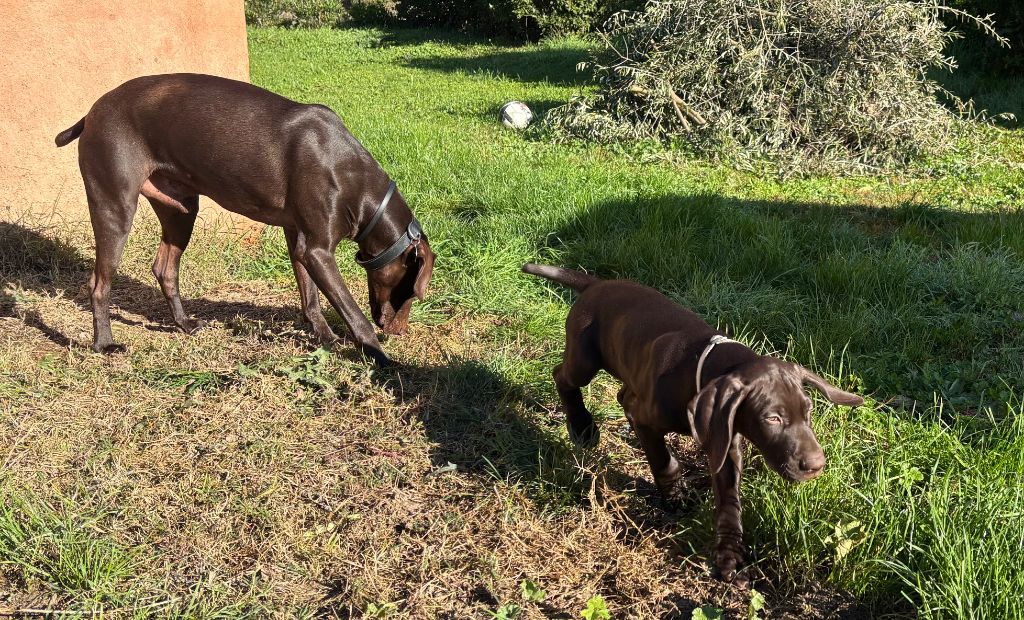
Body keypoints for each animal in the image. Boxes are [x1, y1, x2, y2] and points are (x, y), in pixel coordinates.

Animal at [54, 73, 434, 364]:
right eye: (413, 293)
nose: (400, 332)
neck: (353, 176)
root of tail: (92, 112)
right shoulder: (318, 251)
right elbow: (353, 314)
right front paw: (382, 358)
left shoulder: (299, 238)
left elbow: (310, 298)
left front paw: (325, 338)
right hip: (114, 206)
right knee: (99, 284)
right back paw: (104, 343)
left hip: (181, 210)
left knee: (165, 269)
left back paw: (184, 324)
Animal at [520, 264, 864, 582]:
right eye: (773, 418)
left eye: (808, 412)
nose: (816, 466)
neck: (700, 365)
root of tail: (596, 284)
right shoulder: (650, 419)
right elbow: (663, 460)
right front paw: (675, 497)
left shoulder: (724, 439)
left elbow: (729, 499)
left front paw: (729, 552)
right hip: (585, 359)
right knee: (563, 376)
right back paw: (581, 426)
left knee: (621, 394)